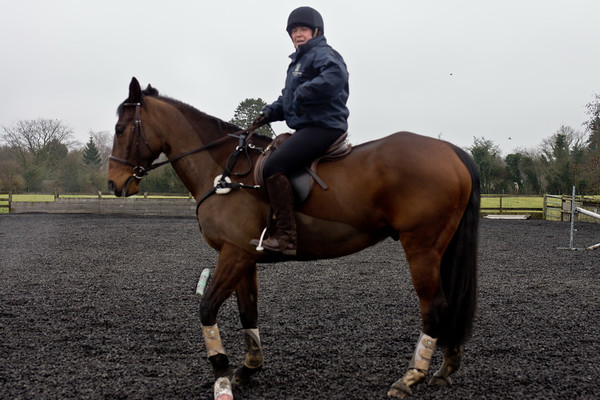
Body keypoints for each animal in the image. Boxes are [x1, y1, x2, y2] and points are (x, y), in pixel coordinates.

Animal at [108, 76, 480, 398]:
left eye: (120, 128)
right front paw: (248, 368)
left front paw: (221, 371)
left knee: (435, 306)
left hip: (421, 247)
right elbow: (248, 313)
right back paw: (445, 368)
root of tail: (450, 150)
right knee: (450, 303)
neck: (224, 171)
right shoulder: (245, 257)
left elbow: (207, 308)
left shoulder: (233, 254)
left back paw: (410, 378)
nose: (115, 182)